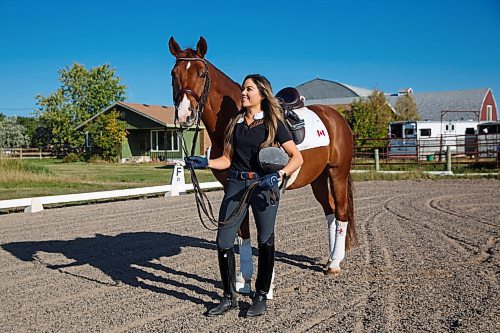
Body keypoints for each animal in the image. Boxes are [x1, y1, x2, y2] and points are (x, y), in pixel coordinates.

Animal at [170, 35, 358, 282]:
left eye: (201, 73)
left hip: (338, 172)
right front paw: (243, 279)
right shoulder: (233, 188)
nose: (185, 115)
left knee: (342, 212)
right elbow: (241, 231)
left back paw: (335, 263)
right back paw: (330, 258)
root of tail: (336, 117)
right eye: (173, 74)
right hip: (318, 178)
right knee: (330, 211)